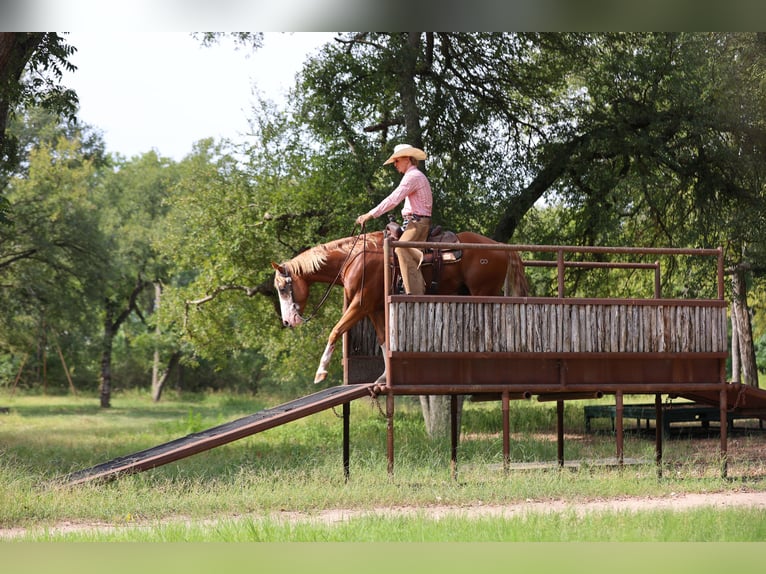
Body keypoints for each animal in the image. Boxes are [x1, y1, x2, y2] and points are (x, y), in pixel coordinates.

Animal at [271, 230, 528, 384]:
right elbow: (384, 340)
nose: (287, 321)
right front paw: (384, 377)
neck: (354, 258)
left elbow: (336, 330)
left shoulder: (360, 305)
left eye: (283, 288)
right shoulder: (374, 308)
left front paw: (320, 372)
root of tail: (500, 246)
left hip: (484, 292)